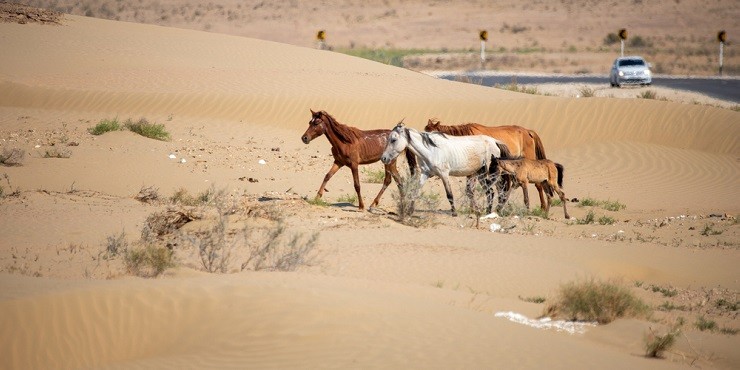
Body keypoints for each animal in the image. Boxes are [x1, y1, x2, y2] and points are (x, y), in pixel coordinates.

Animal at [378, 122, 512, 214]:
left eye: (393, 140)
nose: (383, 158)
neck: (431, 150)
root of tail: (495, 142)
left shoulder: (444, 174)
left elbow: (449, 195)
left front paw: (454, 213)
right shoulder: (425, 174)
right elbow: (416, 191)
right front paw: (410, 211)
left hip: (490, 173)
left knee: (495, 191)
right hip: (480, 173)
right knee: (491, 192)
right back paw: (487, 212)